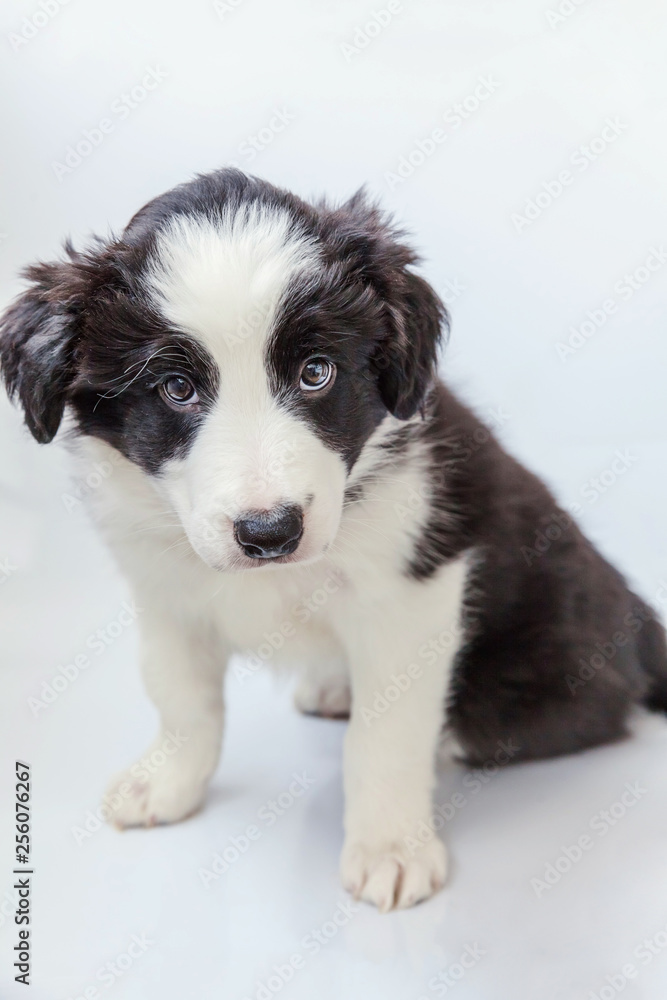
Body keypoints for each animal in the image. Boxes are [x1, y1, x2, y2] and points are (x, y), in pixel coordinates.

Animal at [1, 168, 667, 912]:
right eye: (175, 388)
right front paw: (168, 782)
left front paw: (391, 848)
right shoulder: (165, 592)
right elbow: (181, 699)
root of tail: (639, 623)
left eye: (315, 373)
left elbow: (385, 737)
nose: (270, 533)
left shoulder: (410, 598)